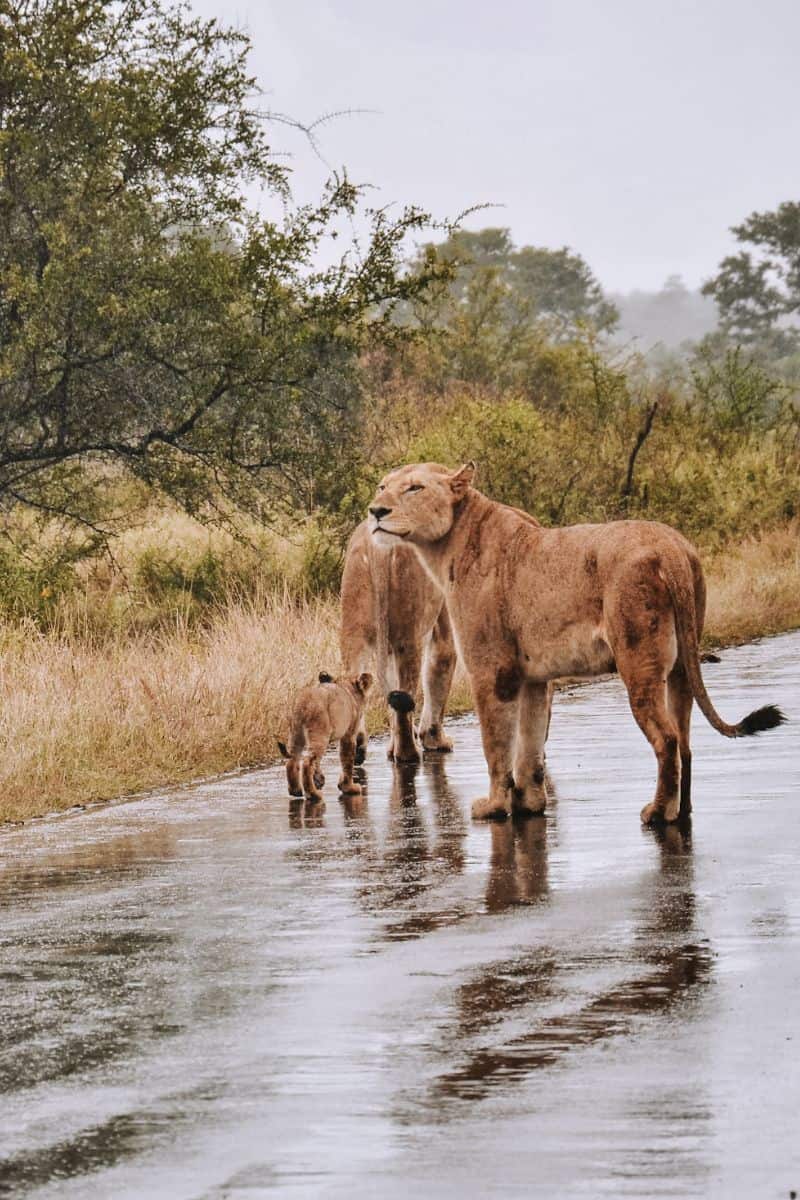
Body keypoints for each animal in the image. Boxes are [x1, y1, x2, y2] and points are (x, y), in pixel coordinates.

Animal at [278, 670, 373, 802]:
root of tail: (305, 701)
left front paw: (321, 780)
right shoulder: (349, 734)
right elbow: (347, 760)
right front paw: (349, 787)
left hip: (296, 733)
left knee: (292, 761)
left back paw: (296, 791)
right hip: (320, 733)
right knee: (308, 762)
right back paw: (313, 794)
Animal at [340, 520, 457, 763]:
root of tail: (378, 549)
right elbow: (442, 661)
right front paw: (435, 741)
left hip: (353, 626)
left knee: (353, 676)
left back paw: (358, 747)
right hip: (408, 633)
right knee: (404, 697)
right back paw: (408, 754)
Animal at [367, 461, 785, 825]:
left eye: (415, 487)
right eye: (382, 485)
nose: (375, 510)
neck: (449, 543)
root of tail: (672, 548)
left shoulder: (492, 671)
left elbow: (496, 745)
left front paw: (494, 806)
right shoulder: (533, 677)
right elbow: (529, 746)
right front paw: (529, 804)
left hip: (638, 661)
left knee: (666, 740)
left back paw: (658, 813)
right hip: (683, 666)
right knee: (684, 740)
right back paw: (683, 810)